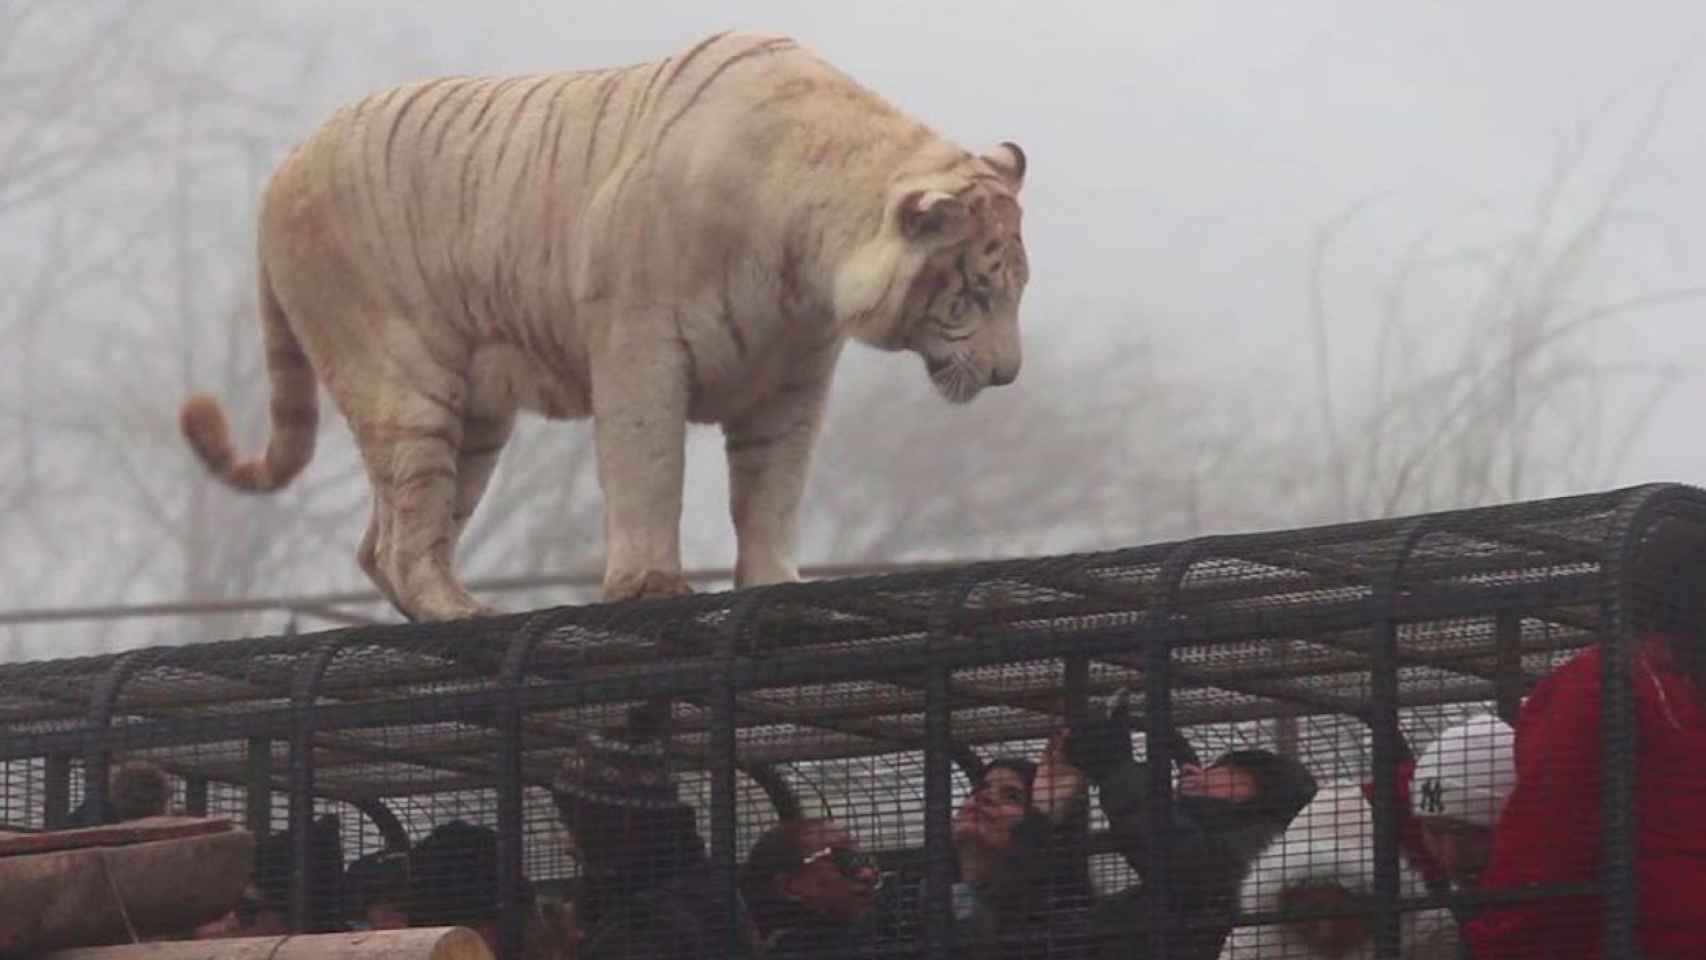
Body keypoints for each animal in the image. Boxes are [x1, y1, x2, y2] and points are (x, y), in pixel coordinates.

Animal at [176, 31, 1023, 624]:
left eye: (1016, 289)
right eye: (976, 293)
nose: (1008, 374)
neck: (807, 254)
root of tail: (280, 171)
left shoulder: (792, 381)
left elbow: (772, 489)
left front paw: (775, 581)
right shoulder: (641, 345)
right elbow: (649, 468)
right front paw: (651, 586)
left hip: (475, 417)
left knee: (382, 546)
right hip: (404, 379)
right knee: (402, 534)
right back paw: (466, 611)